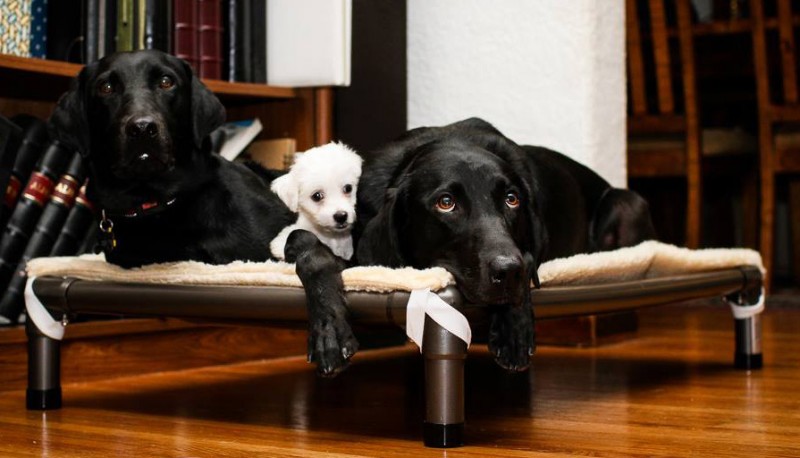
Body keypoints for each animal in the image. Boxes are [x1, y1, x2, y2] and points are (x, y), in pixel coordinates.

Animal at [290, 116, 652, 374]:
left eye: (511, 199)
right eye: (446, 203)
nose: (508, 271)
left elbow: (529, 256)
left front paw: (514, 326)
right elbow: (305, 243)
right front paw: (329, 330)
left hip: (628, 203)